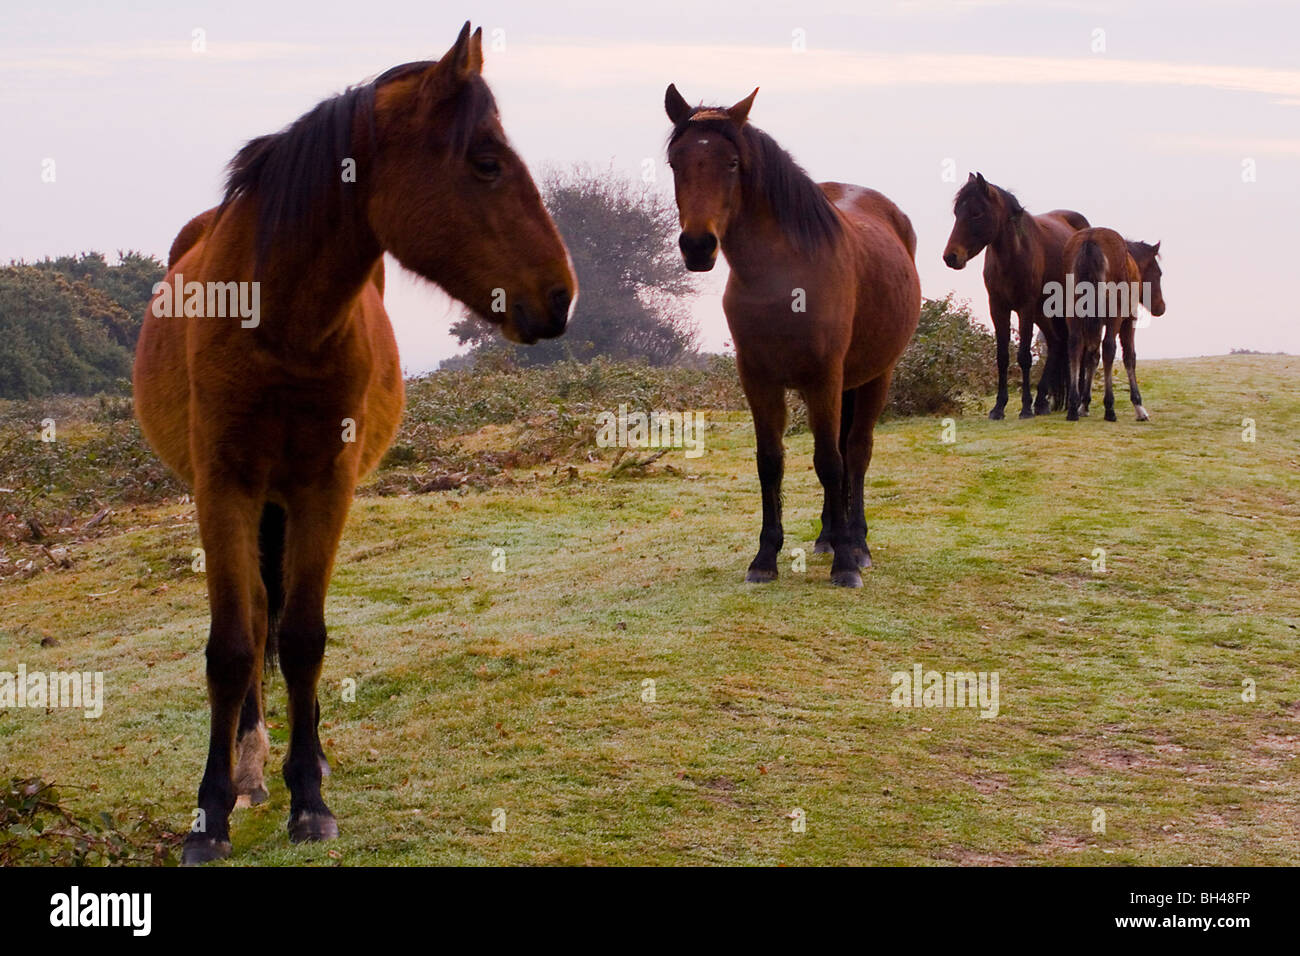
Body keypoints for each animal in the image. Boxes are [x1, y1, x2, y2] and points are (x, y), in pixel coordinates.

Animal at [134, 22, 577, 863]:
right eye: (486, 160)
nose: (562, 295)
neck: (276, 321)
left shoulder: (324, 486)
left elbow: (305, 637)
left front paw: (310, 797)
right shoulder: (224, 486)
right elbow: (233, 646)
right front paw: (210, 814)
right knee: (255, 623)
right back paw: (248, 765)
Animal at [665, 85, 920, 587]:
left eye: (732, 163)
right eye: (675, 162)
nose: (698, 247)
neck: (783, 279)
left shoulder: (824, 378)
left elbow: (830, 462)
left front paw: (846, 565)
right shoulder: (758, 380)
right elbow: (771, 462)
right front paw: (765, 557)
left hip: (876, 376)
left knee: (855, 453)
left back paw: (857, 544)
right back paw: (828, 537)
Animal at [946, 174, 1086, 418]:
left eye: (976, 213)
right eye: (956, 212)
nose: (951, 256)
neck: (1012, 256)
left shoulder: (1025, 308)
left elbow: (1024, 357)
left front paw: (1025, 407)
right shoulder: (998, 308)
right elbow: (1002, 357)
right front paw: (998, 407)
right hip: (1043, 312)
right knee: (1056, 343)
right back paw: (1042, 402)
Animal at [1060, 227, 1164, 421]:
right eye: (1159, 273)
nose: (1161, 307)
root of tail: (1090, 240)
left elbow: (1092, 357)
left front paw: (1084, 404)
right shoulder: (1128, 319)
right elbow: (1129, 357)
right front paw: (1138, 406)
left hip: (1074, 315)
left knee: (1075, 346)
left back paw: (1073, 407)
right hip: (1114, 316)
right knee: (1109, 347)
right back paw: (1109, 408)